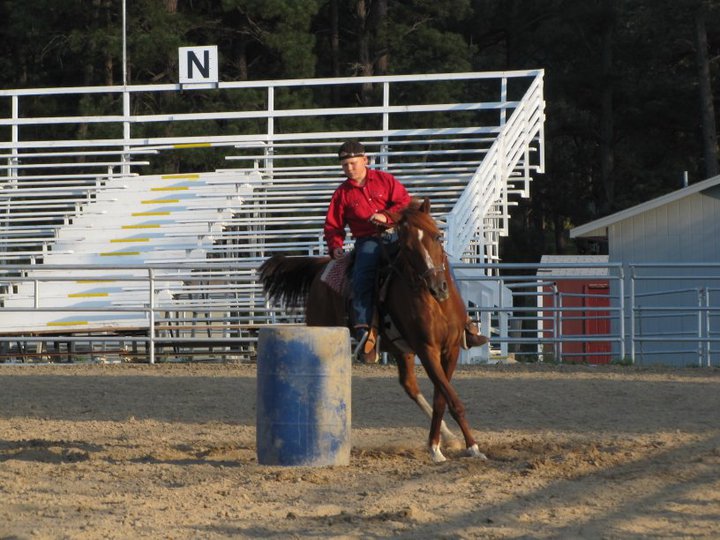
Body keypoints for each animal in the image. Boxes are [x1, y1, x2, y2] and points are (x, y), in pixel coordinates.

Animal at [256, 198, 486, 464]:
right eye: (407, 248)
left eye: (438, 237)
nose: (438, 287)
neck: (436, 304)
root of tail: (323, 266)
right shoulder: (427, 349)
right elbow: (452, 399)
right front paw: (461, 447)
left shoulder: (451, 349)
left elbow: (442, 398)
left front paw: (450, 445)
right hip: (323, 326)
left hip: (401, 349)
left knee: (409, 385)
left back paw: (448, 436)